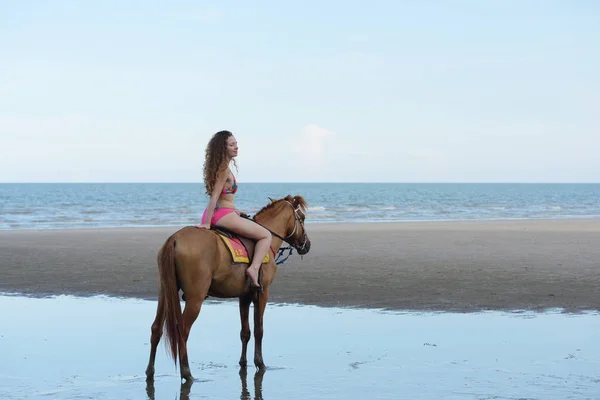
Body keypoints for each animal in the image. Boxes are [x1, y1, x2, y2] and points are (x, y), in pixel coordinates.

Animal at [142, 195, 310, 382]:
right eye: (302, 218)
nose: (307, 245)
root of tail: (175, 239)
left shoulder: (244, 296)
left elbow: (245, 332)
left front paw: (243, 363)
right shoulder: (263, 293)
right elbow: (259, 330)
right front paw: (260, 363)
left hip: (165, 292)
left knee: (156, 328)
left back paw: (150, 371)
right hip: (195, 298)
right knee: (183, 330)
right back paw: (187, 372)